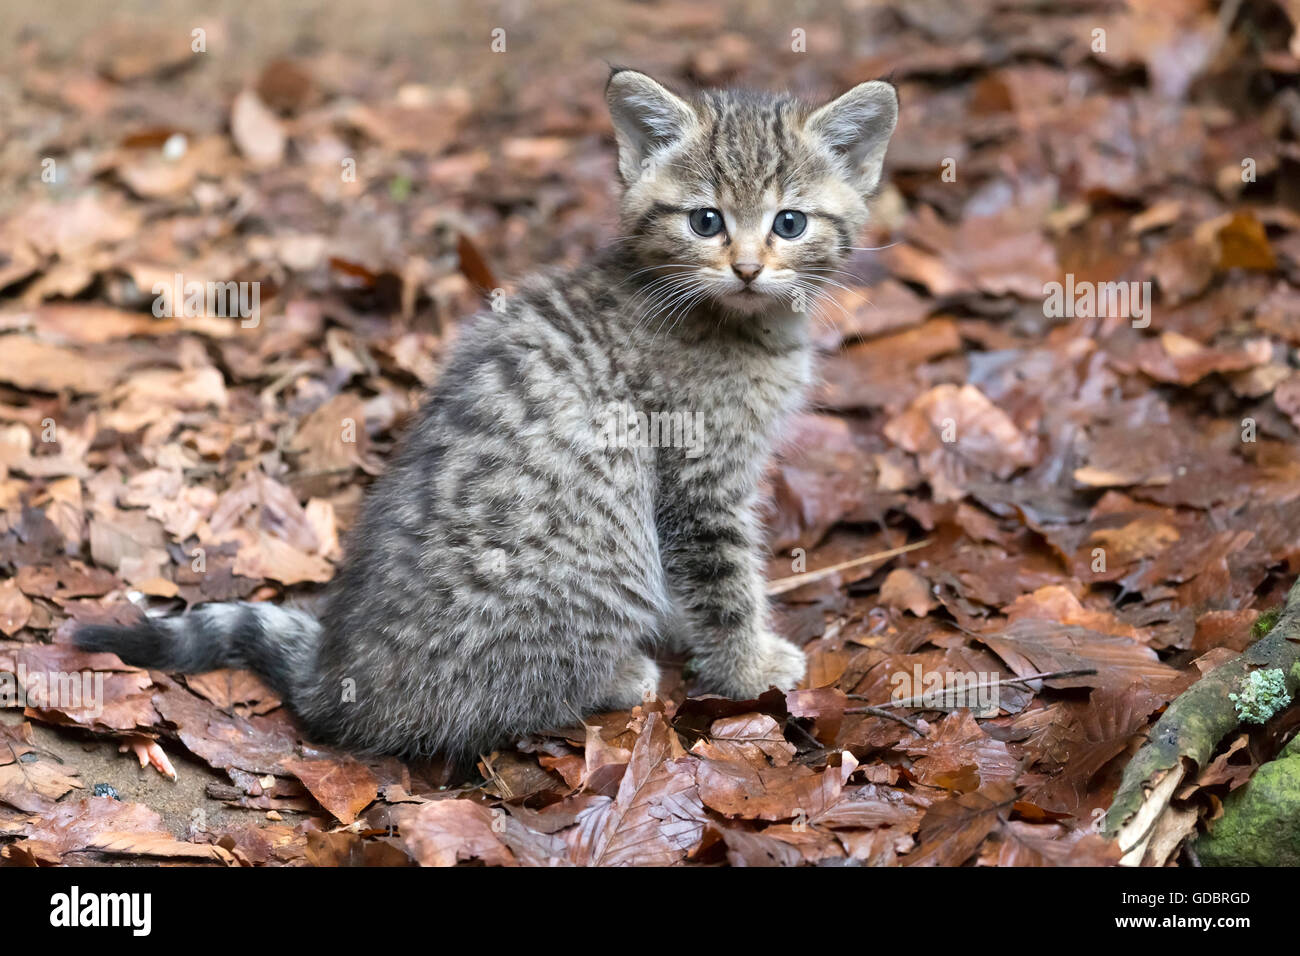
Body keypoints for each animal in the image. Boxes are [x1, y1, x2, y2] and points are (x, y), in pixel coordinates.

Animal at [78, 69, 894, 764]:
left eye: (789, 222)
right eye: (705, 221)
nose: (749, 267)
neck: (732, 322)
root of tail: (338, 675)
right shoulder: (695, 477)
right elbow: (724, 582)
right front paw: (748, 668)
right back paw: (616, 676)